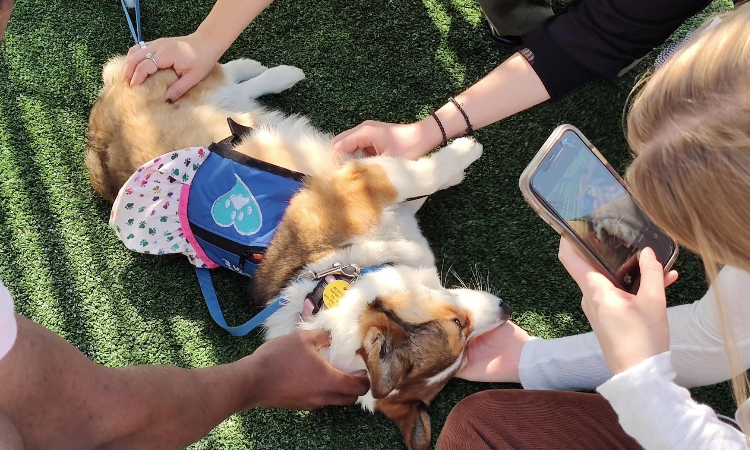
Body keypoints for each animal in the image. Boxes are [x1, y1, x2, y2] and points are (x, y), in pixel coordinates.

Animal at [86, 56, 512, 450]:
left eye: (463, 362)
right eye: (458, 327)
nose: (506, 309)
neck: (342, 274)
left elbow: (415, 182)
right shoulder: (361, 186)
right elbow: (417, 175)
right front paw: (465, 149)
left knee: (235, 87)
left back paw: (275, 75)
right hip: (195, 89)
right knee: (219, 75)